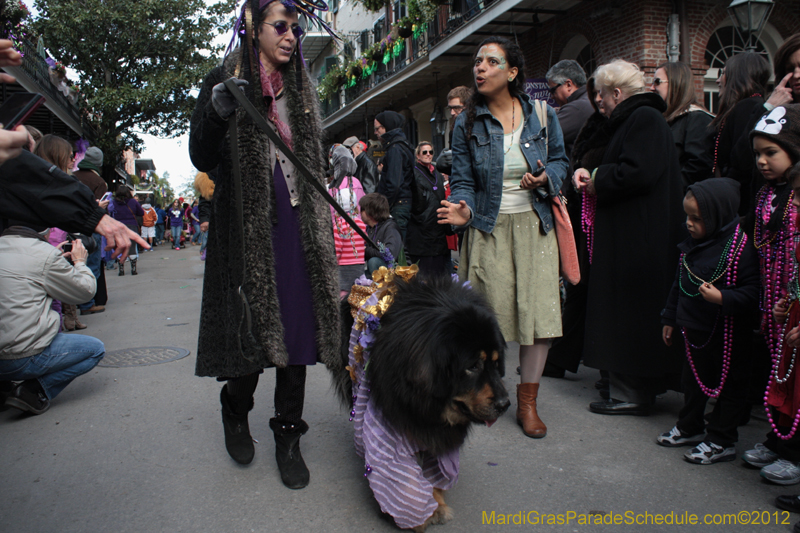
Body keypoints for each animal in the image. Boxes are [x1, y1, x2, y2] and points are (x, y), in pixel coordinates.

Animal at [340, 272, 510, 528]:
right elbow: (404, 487)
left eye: (495, 362)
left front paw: (437, 503)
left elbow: (436, 474)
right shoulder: (388, 433)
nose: (504, 404)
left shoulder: (439, 438)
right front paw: (421, 516)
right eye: (472, 366)